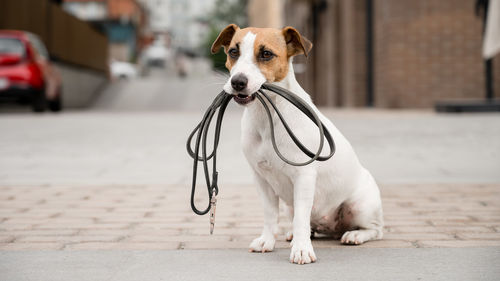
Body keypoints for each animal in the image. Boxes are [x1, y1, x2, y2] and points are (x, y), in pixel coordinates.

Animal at [211, 25, 382, 264]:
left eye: (266, 54)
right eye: (233, 52)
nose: (238, 82)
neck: (268, 116)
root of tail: (331, 227)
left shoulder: (304, 177)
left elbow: (302, 216)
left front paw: (301, 249)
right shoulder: (261, 177)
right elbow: (270, 214)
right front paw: (267, 241)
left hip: (360, 206)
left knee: (375, 229)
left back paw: (354, 234)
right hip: (291, 207)